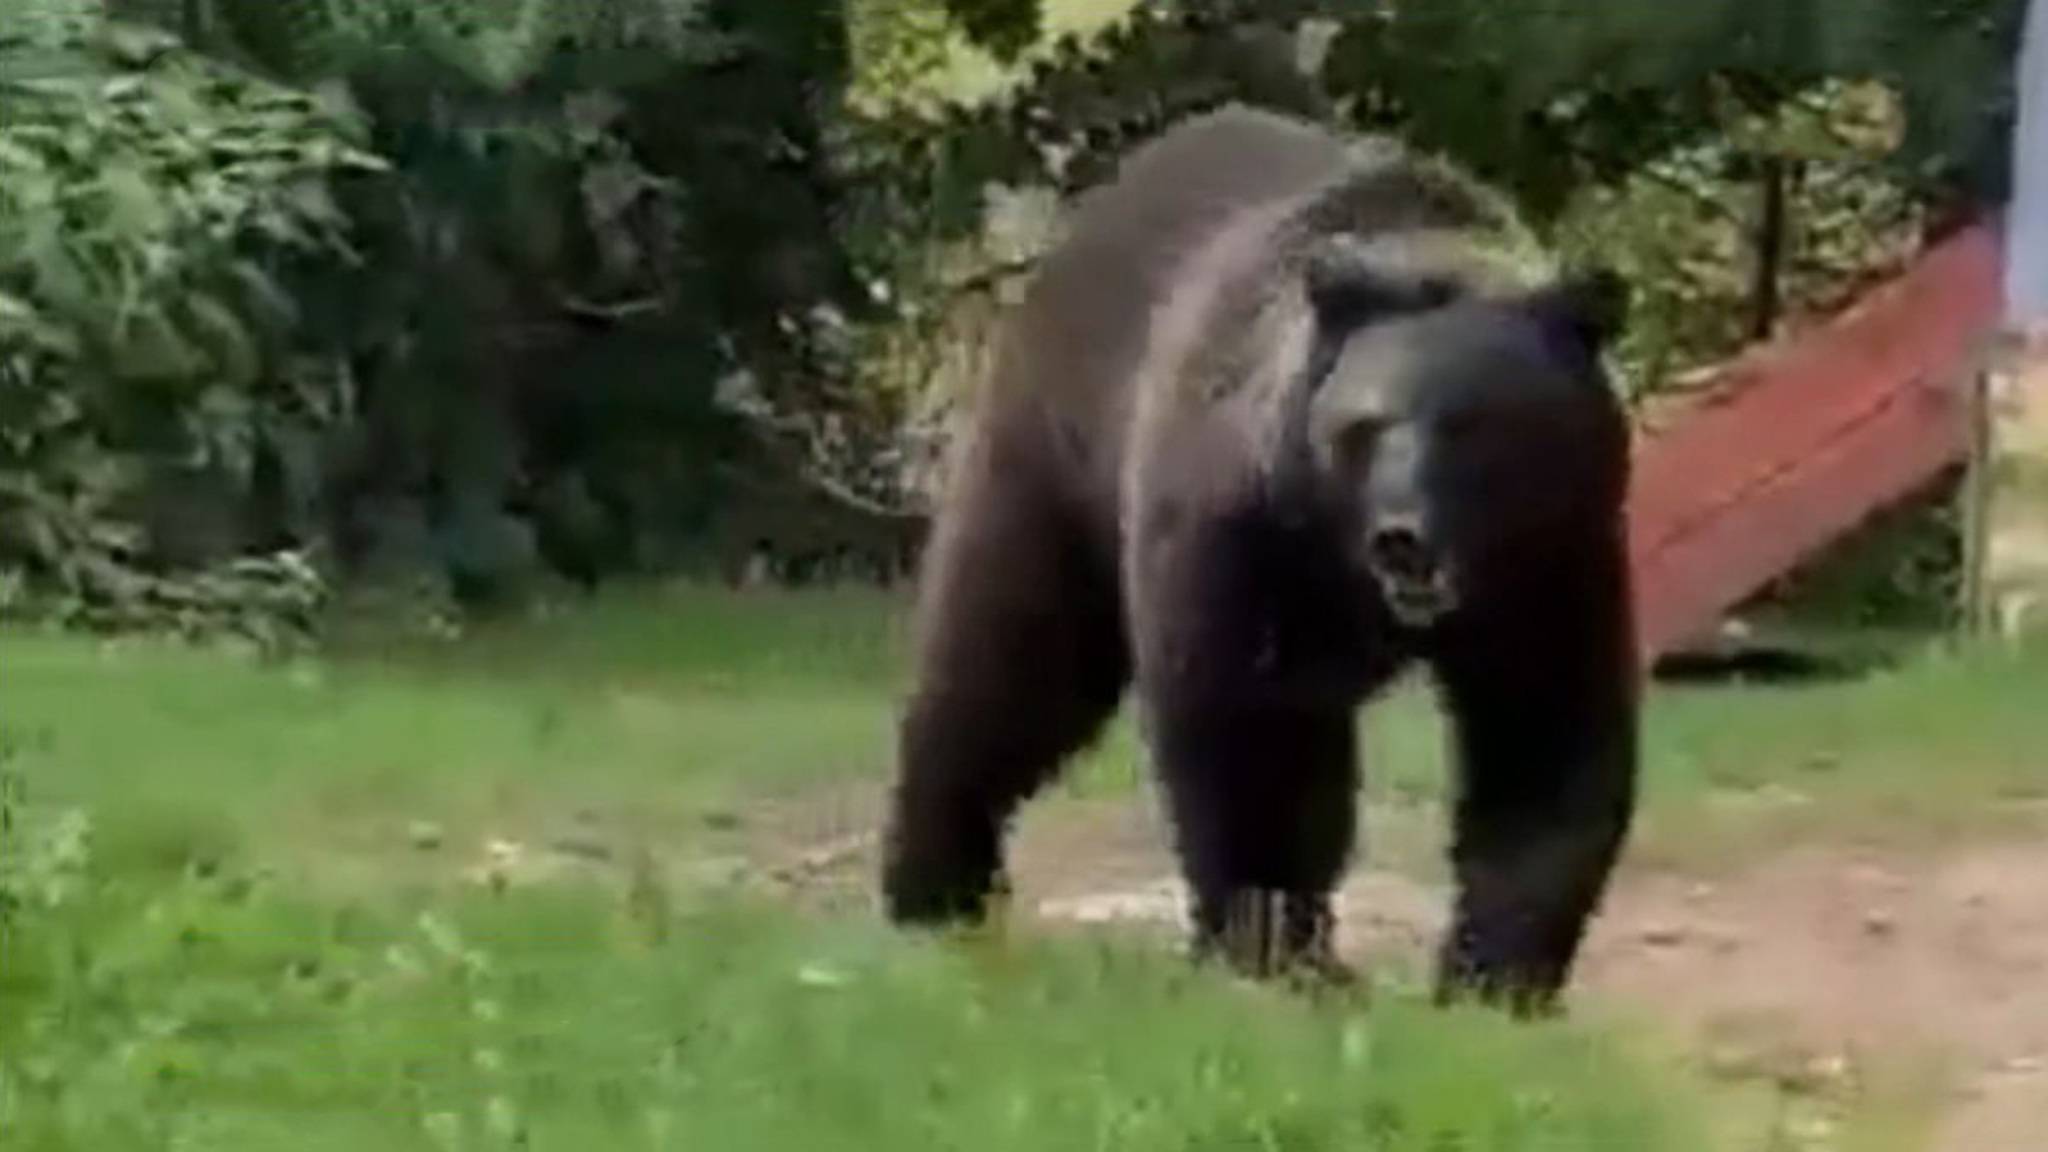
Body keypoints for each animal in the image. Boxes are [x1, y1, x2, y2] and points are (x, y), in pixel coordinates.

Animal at [878, 104, 1638, 1015]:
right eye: (1367, 424)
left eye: (1475, 423)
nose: (1402, 537)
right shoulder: (1243, 531)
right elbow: (1249, 732)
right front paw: (1274, 952)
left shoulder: (1554, 560)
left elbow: (1544, 742)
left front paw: (1495, 978)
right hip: (1054, 460)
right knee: (1008, 666)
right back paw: (933, 890)